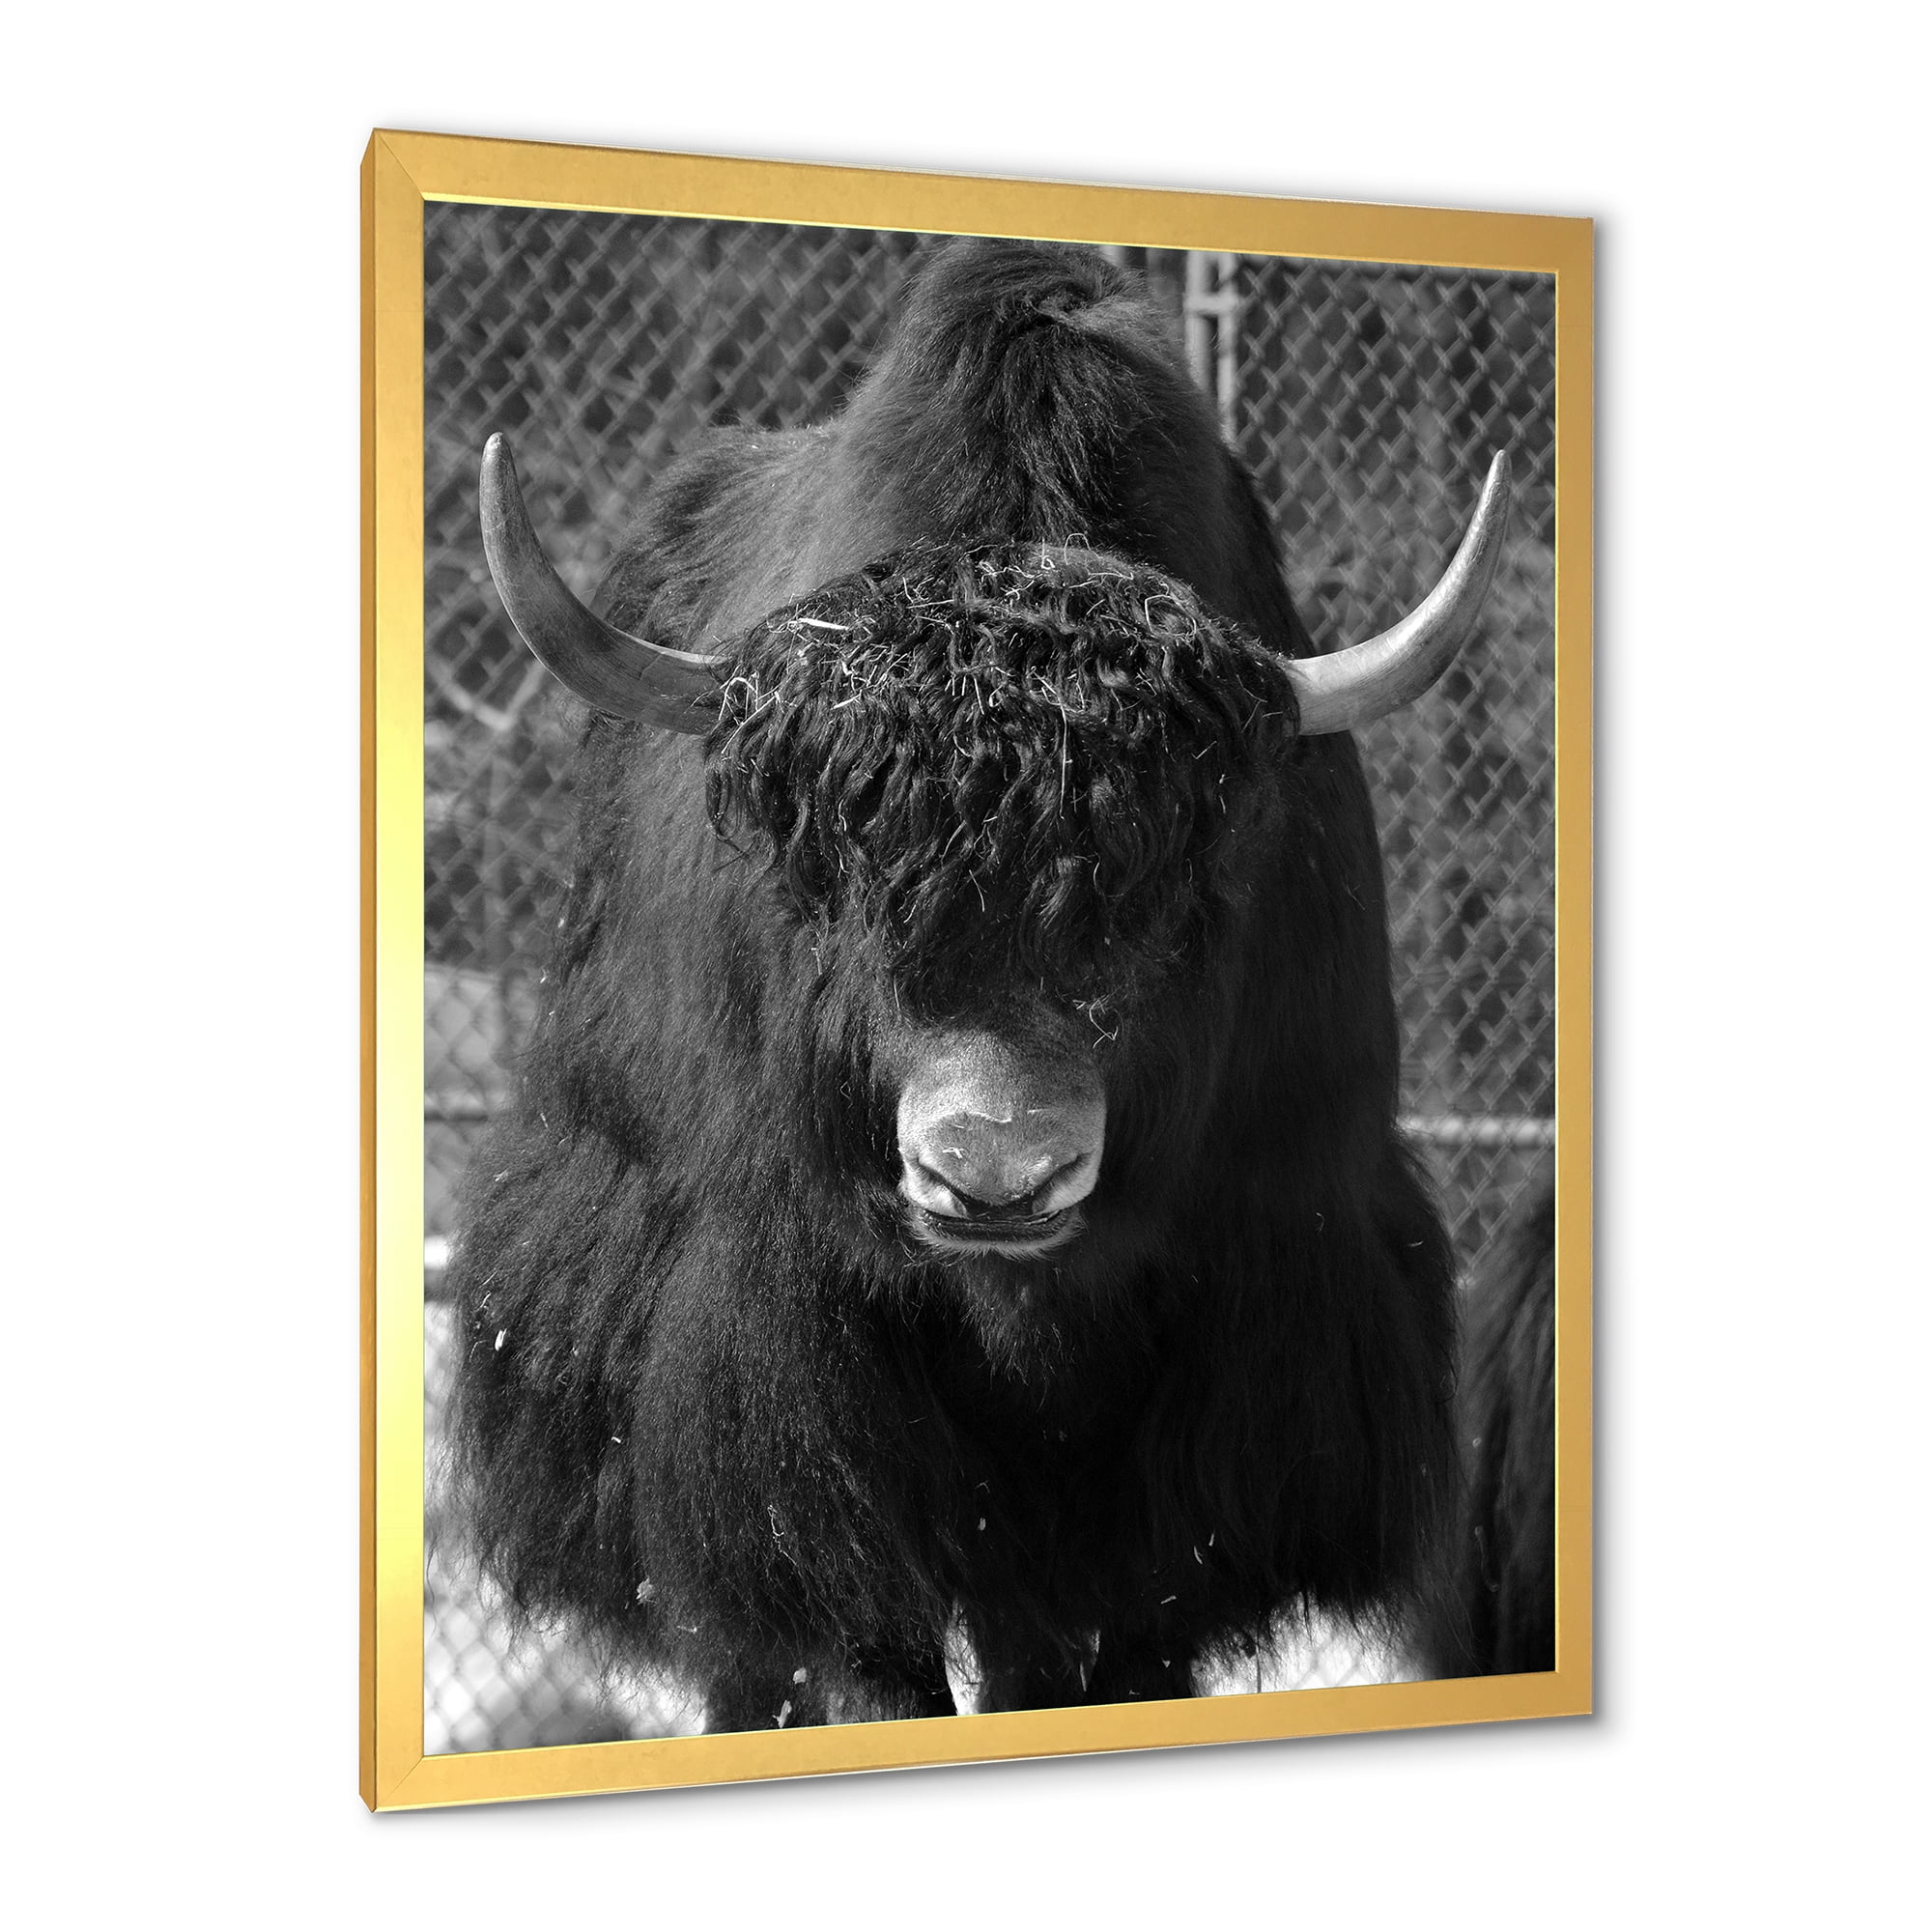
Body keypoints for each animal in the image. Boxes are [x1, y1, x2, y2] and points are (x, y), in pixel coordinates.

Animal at [449, 238, 1515, 1731]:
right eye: (838, 885)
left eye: (1164, 903)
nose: (996, 1174)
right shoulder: (783, 1380)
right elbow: (858, 1643)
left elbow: (1116, 1644)